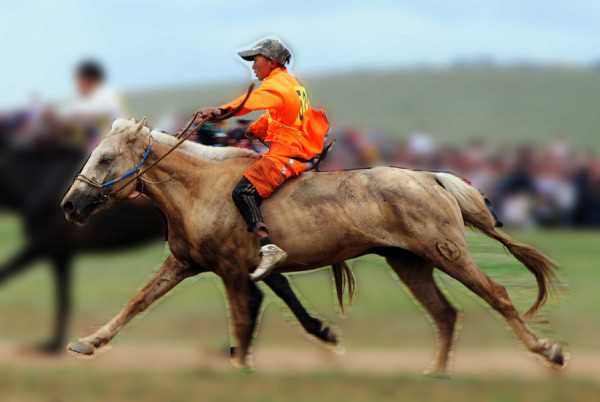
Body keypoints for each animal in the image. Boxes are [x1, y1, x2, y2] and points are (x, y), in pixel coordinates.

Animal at [0, 138, 338, 352]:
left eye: (106, 158)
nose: (69, 205)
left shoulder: (44, 246)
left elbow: (9, 274)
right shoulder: (60, 252)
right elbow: (70, 296)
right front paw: (62, 343)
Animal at [62, 118, 568, 374]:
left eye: (106, 157)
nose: (70, 205)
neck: (201, 188)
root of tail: (431, 178)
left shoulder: (232, 271)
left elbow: (242, 318)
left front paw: (241, 367)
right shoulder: (185, 263)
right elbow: (137, 302)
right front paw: (88, 342)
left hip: (447, 252)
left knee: (497, 295)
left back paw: (549, 351)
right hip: (410, 263)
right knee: (445, 313)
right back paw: (435, 373)